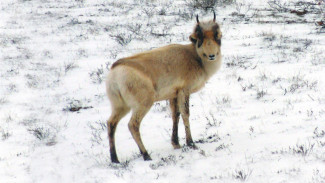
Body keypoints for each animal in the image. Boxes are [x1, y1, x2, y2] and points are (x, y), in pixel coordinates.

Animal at [105, 13, 221, 164]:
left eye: (217, 36)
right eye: (199, 38)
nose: (212, 55)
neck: (193, 55)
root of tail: (116, 70)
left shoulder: (173, 95)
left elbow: (175, 115)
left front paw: (176, 143)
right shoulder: (184, 91)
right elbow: (185, 114)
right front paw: (191, 143)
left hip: (120, 107)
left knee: (111, 123)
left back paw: (115, 159)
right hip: (143, 105)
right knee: (133, 125)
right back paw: (146, 155)